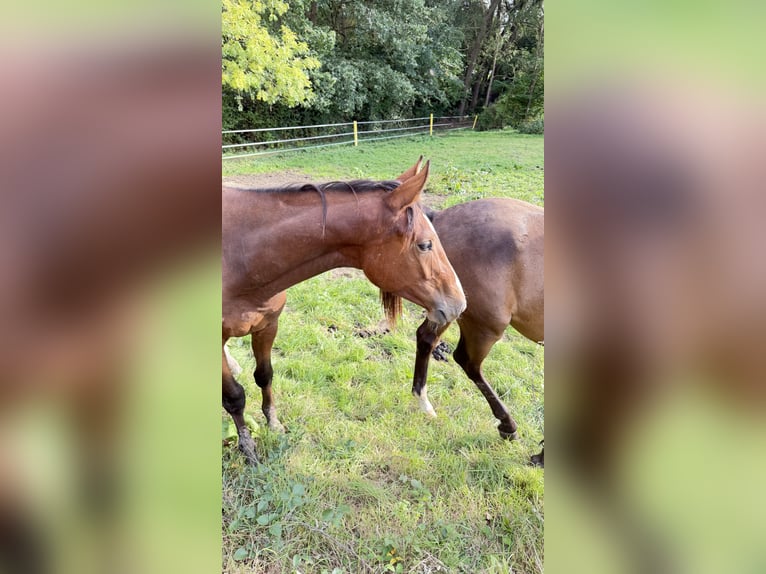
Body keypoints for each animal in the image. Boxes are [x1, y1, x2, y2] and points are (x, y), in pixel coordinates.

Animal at [222, 159, 467, 464]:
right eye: (425, 245)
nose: (459, 303)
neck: (242, 253)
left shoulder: (267, 325)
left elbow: (265, 375)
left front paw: (274, 425)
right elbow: (234, 396)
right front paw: (248, 447)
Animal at [409, 198, 544, 458]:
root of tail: (440, 218)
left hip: (448, 308)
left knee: (426, 338)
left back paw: (423, 402)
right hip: (485, 325)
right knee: (467, 362)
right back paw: (507, 425)